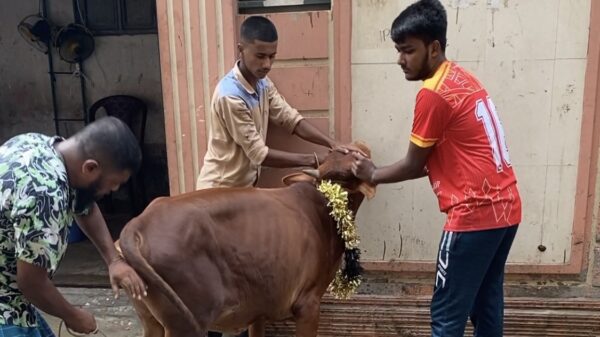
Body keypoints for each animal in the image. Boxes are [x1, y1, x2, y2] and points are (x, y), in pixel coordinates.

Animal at [118, 143, 376, 334]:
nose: (361, 148)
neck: (324, 205)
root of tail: (140, 221)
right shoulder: (308, 304)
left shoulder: (258, 309)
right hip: (184, 324)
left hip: (151, 321)